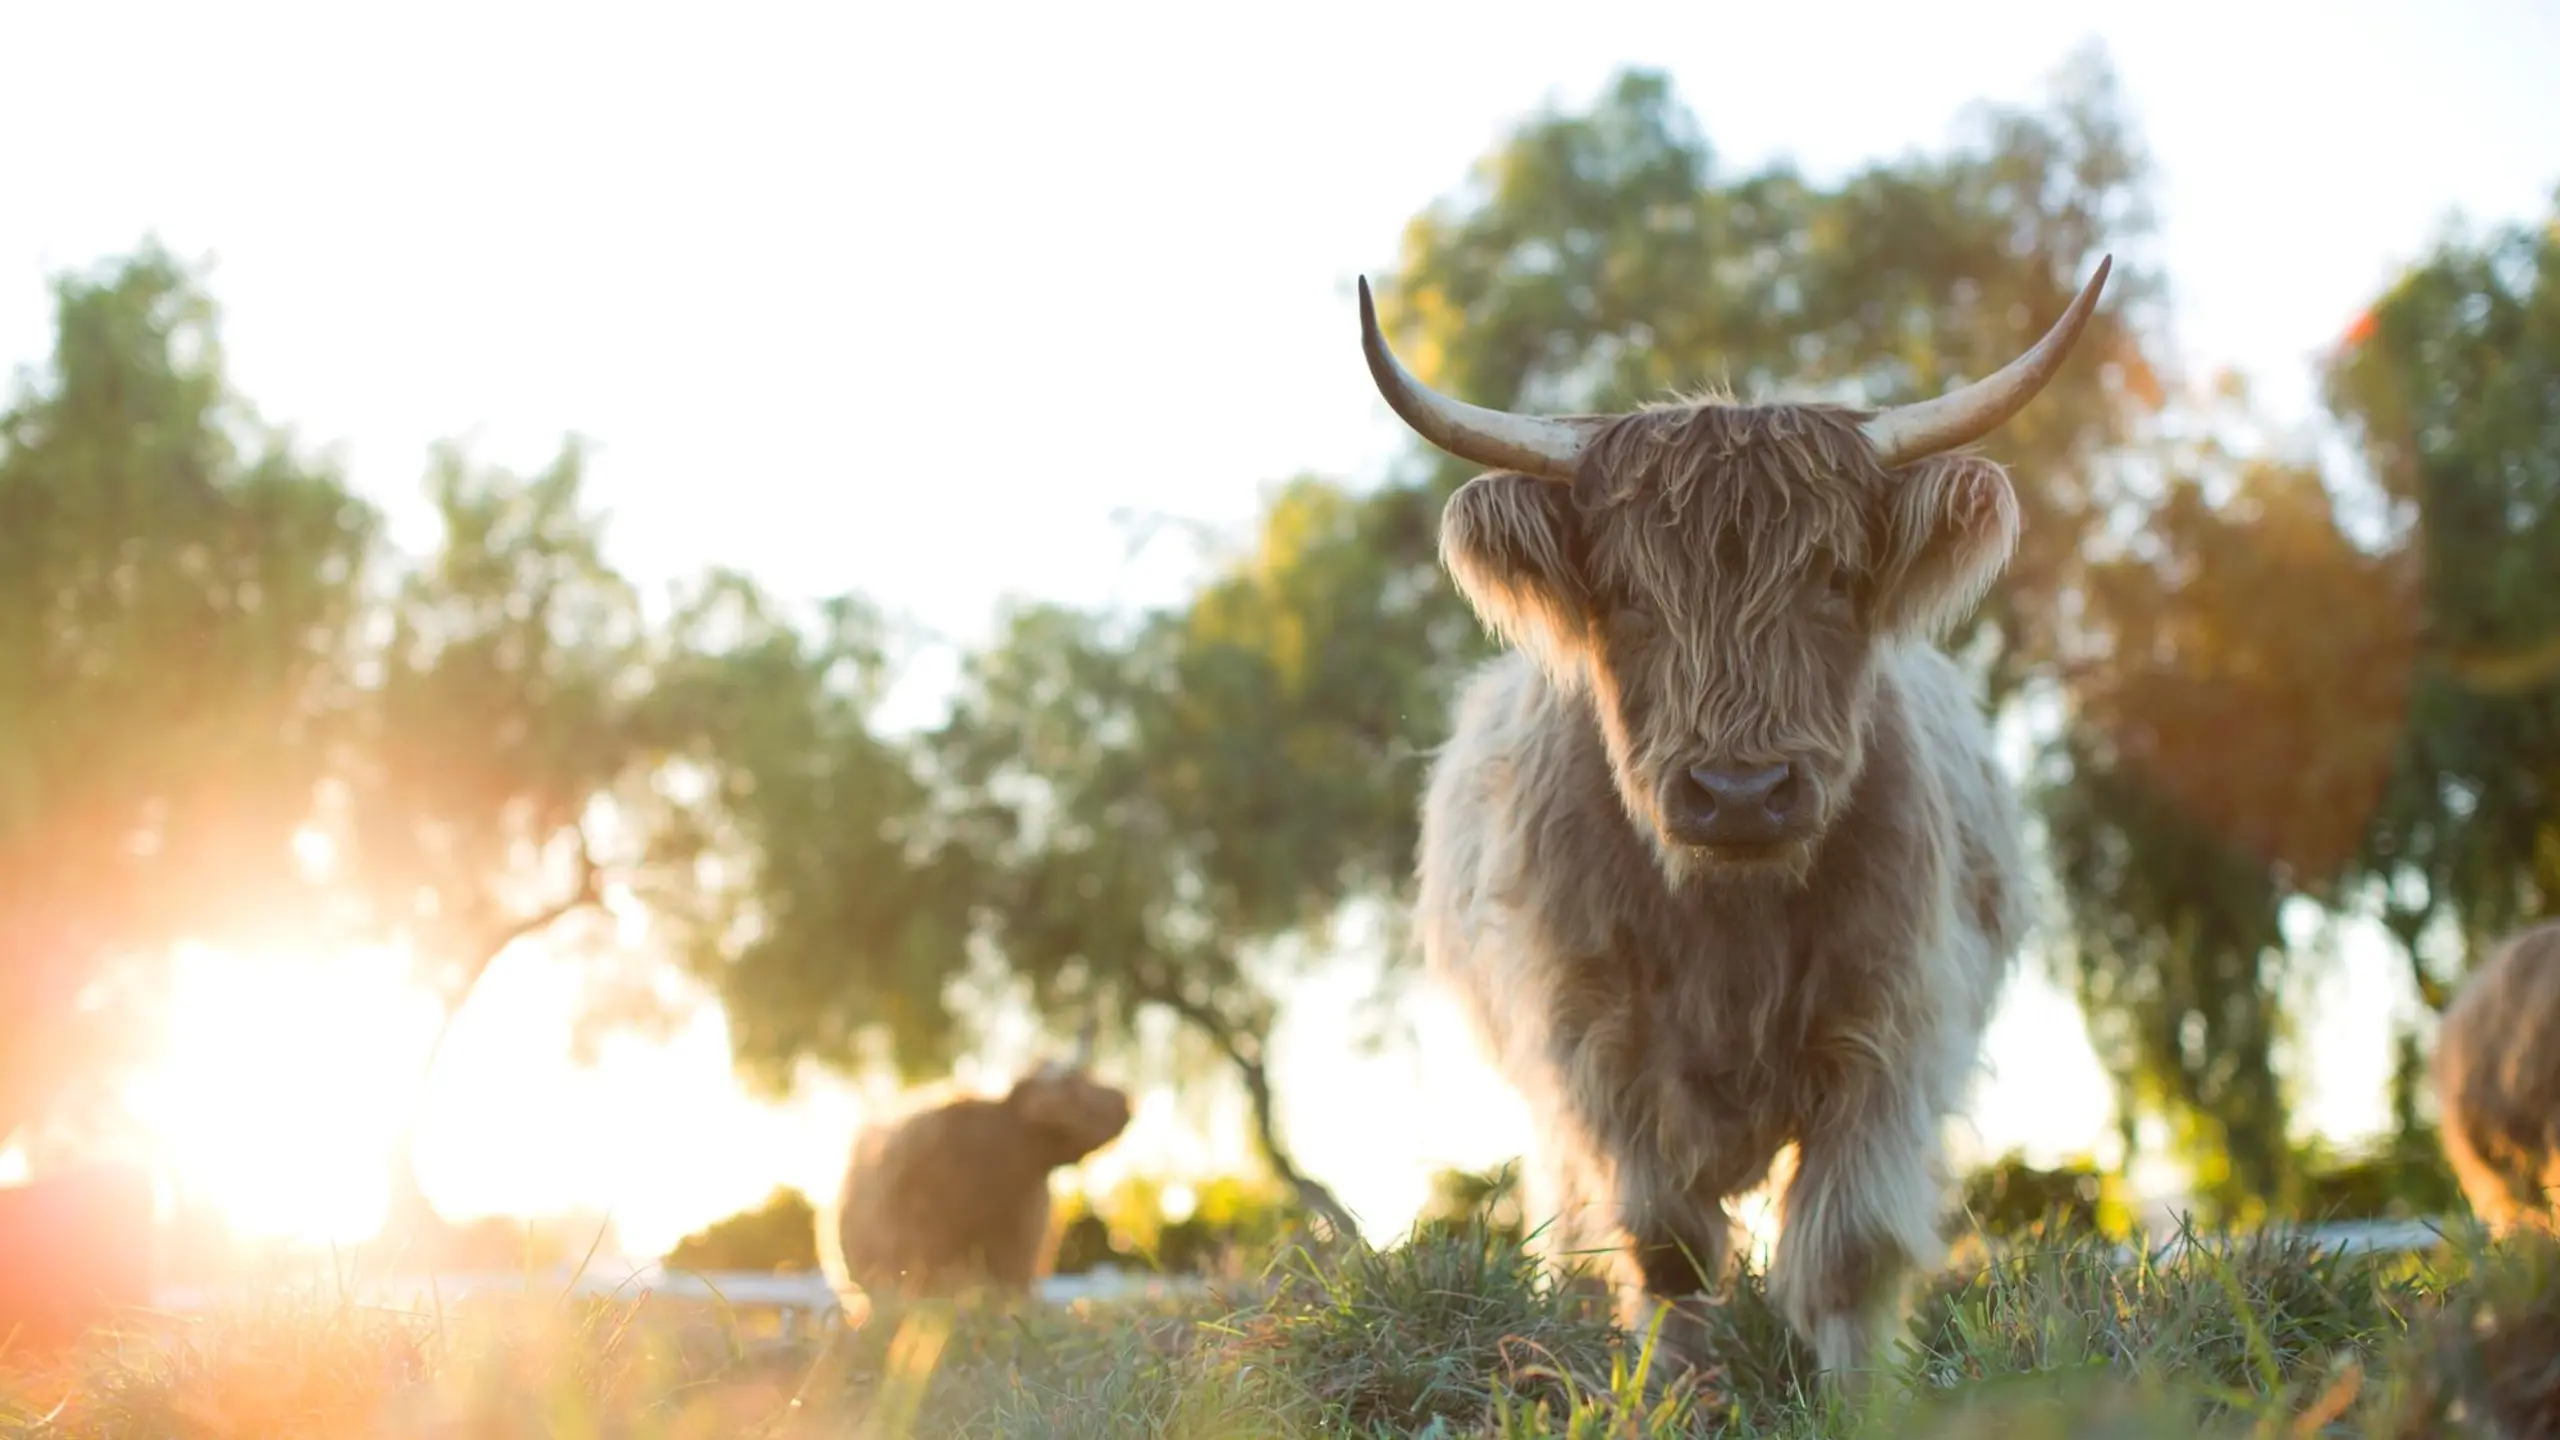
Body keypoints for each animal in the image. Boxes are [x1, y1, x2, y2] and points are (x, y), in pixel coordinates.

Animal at [1372, 257, 2109, 1383]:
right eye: (1627, 592)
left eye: (1836, 579)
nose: (1739, 793)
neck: (1730, 919)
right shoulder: (1594, 1041)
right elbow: (1663, 1243)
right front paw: (1676, 1391)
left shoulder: (1890, 1026)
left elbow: (1848, 1249)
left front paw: (1859, 1398)